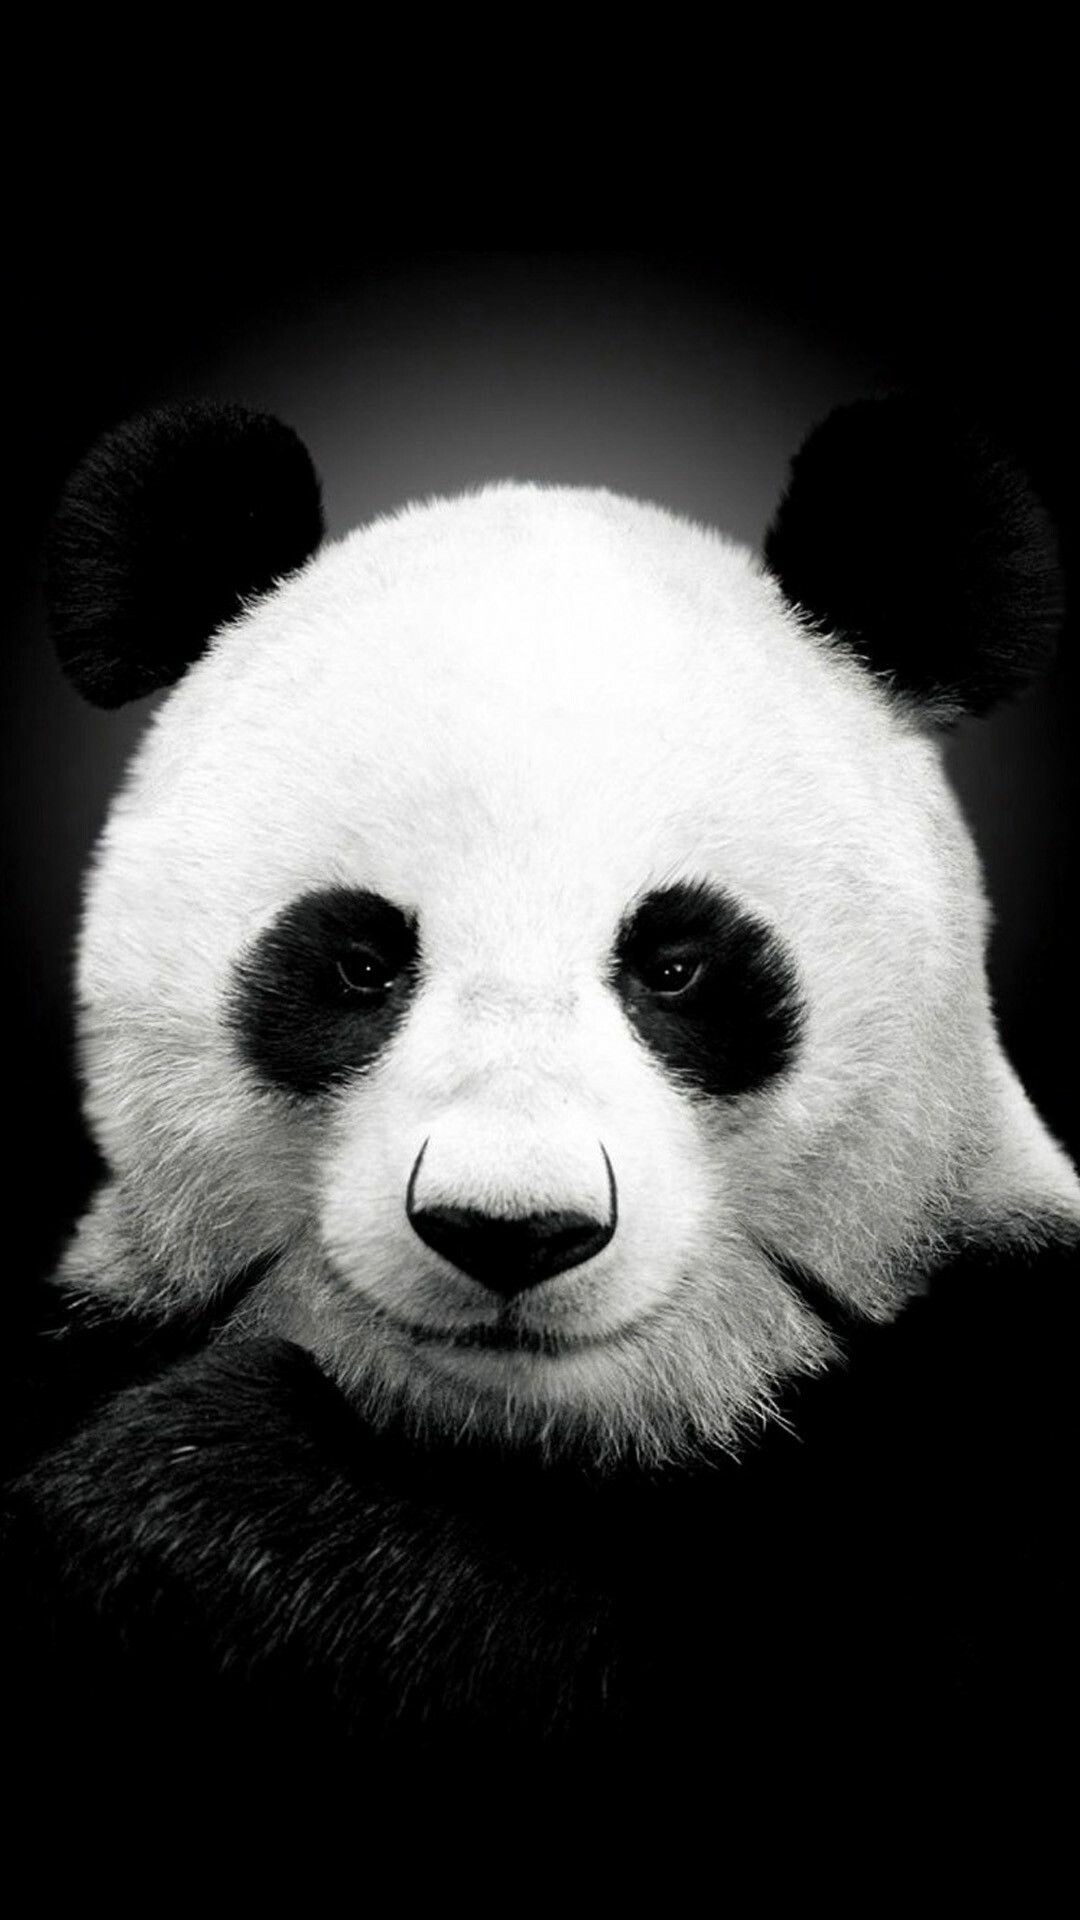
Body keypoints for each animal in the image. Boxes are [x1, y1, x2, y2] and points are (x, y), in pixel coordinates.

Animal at [3, 396, 1077, 1808]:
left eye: (676, 965)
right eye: (360, 963)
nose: (512, 1230)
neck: (529, 1448)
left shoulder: (977, 1408)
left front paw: (201, 1502)